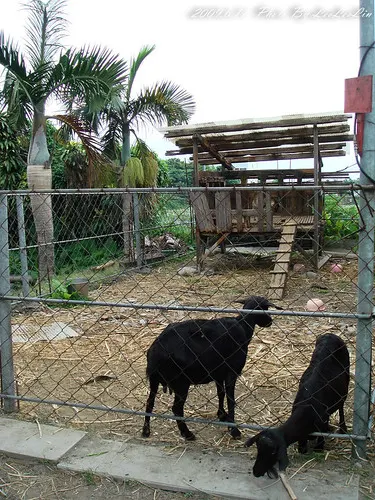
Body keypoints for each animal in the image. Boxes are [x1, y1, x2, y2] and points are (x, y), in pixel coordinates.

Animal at [141, 294, 280, 440]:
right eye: (266, 308)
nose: (270, 322)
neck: (243, 326)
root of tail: (156, 350)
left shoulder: (218, 374)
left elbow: (221, 393)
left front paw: (222, 415)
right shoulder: (232, 372)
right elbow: (231, 400)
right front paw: (234, 429)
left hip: (154, 379)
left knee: (149, 402)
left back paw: (146, 431)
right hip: (181, 382)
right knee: (176, 408)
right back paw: (187, 433)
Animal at [245, 334, 352, 478]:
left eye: (273, 452)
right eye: (258, 448)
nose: (256, 472)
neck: (307, 408)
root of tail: (330, 335)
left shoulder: (322, 420)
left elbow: (319, 442)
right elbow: (302, 447)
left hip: (346, 377)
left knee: (341, 405)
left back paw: (343, 428)